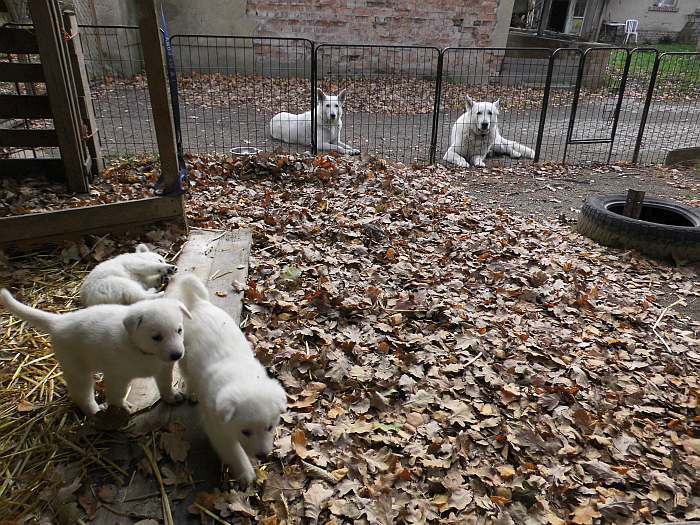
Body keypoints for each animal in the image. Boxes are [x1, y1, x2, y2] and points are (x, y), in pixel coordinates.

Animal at [0, 288, 191, 416]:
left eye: (179, 330)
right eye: (156, 337)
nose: (177, 355)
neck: (141, 350)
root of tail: (59, 321)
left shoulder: (163, 368)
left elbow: (166, 383)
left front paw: (171, 396)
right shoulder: (117, 376)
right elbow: (116, 394)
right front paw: (121, 407)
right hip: (77, 370)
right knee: (82, 394)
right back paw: (93, 411)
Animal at [167, 276, 288, 486]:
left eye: (270, 427)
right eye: (245, 432)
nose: (263, 455)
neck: (242, 377)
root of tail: (199, 303)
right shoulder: (218, 429)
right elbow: (234, 451)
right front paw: (246, 473)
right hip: (184, 357)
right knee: (188, 376)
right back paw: (192, 393)